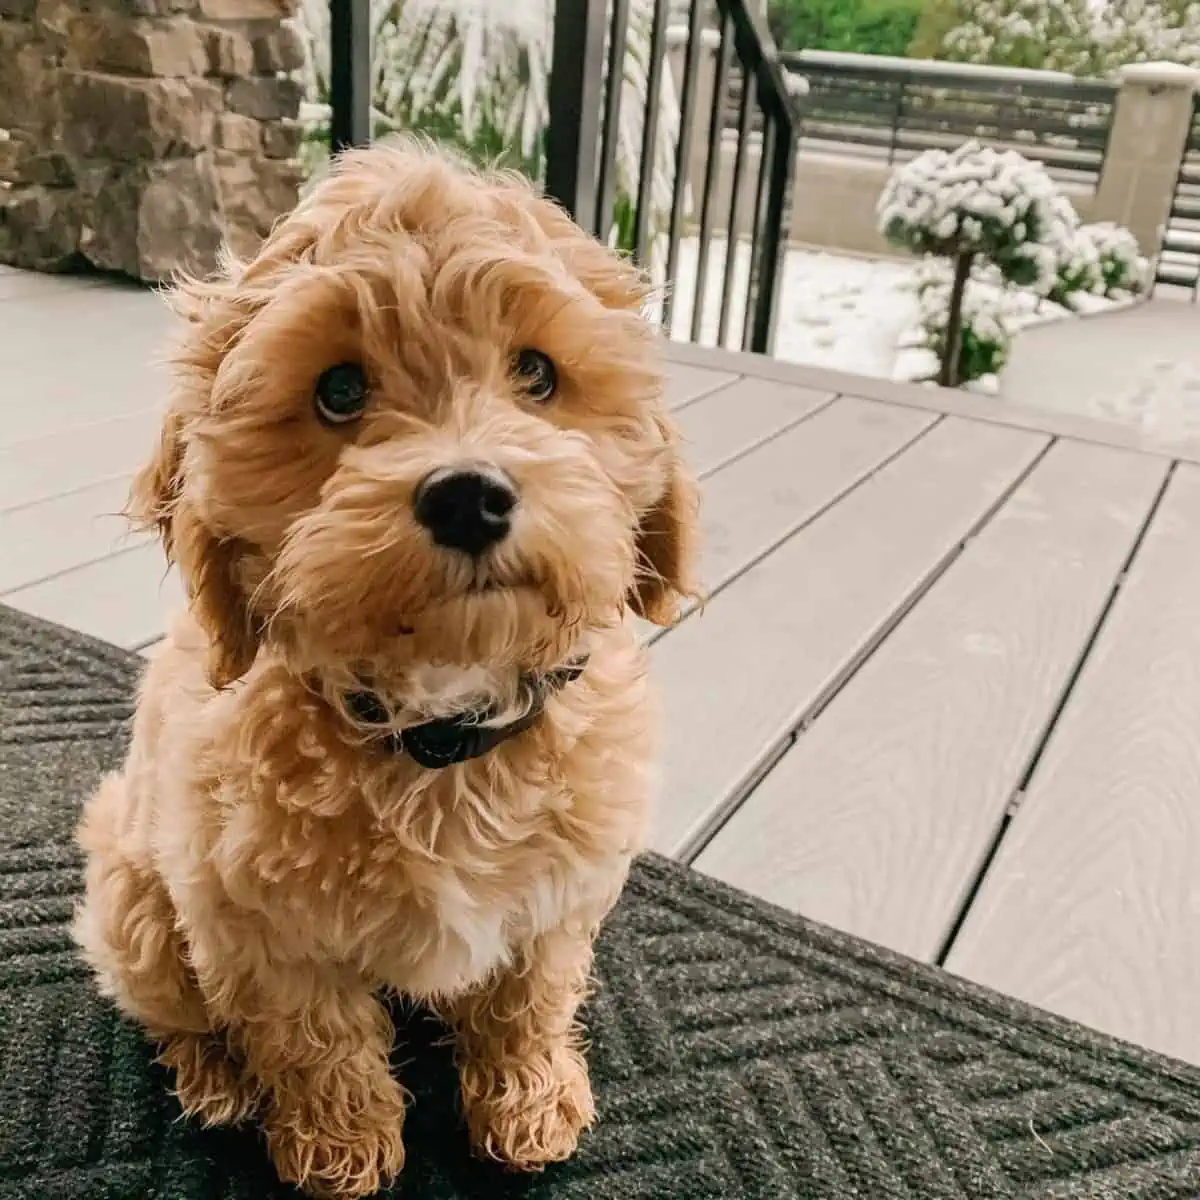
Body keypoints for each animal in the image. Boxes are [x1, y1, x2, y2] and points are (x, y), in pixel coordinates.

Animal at [70, 136, 700, 1195]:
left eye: (538, 373)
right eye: (337, 390)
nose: (467, 495)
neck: (438, 728)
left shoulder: (562, 897)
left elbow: (530, 997)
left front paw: (528, 1101)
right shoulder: (257, 928)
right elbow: (314, 1040)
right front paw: (341, 1146)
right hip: (136, 898)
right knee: (170, 1006)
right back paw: (216, 1080)